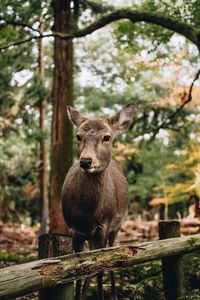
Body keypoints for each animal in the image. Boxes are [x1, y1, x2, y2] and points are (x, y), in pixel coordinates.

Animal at [61, 103, 135, 300]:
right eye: (78, 136)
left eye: (106, 137)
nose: (86, 161)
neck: (88, 214)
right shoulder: (74, 230)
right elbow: (80, 270)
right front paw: (79, 295)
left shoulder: (104, 225)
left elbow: (101, 269)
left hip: (117, 226)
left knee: (113, 255)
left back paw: (114, 294)